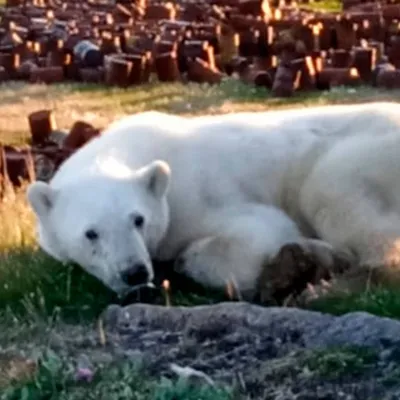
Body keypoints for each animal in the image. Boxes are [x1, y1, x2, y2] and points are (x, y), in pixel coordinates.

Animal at [27, 101, 400, 298]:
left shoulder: (198, 195)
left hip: (359, 155)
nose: (134, 273)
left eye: (138, 219)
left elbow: (260, 232)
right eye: (91, 233)